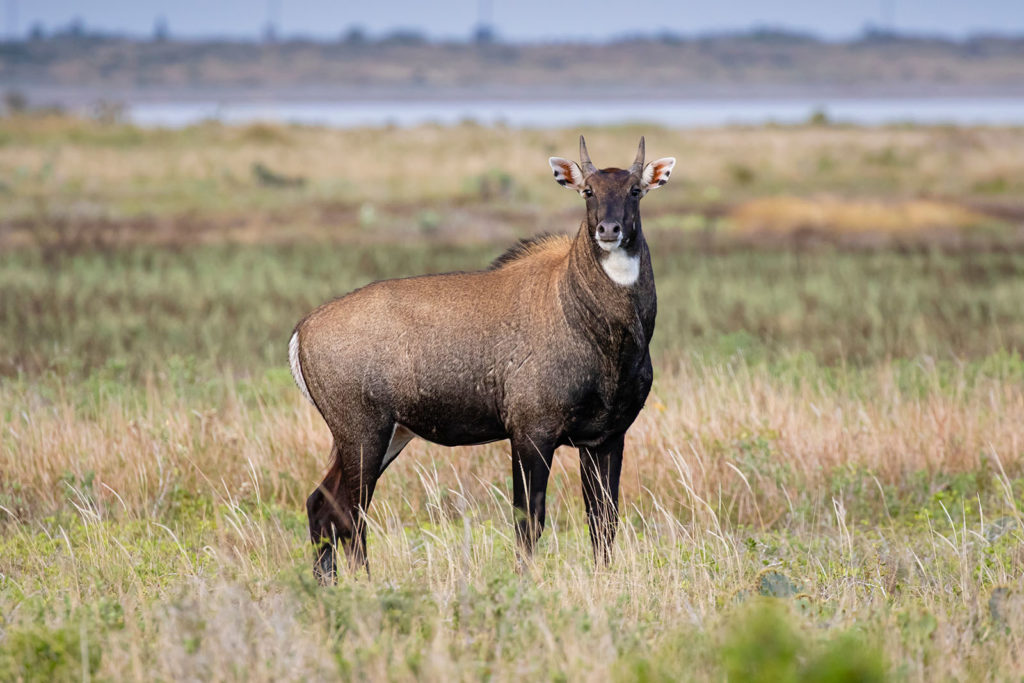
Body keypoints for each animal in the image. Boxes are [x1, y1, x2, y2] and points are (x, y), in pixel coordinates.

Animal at [288, 135, 671, 581]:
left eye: (635, 190)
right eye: (588, 191)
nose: (609, 230)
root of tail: (302, 331)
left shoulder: (607, 437)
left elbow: (603, 521)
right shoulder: (531, 433)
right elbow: (529, 519)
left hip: (386, 435)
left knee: (323, 505)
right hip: (363, 433)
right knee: (351, 514)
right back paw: (366, 583)